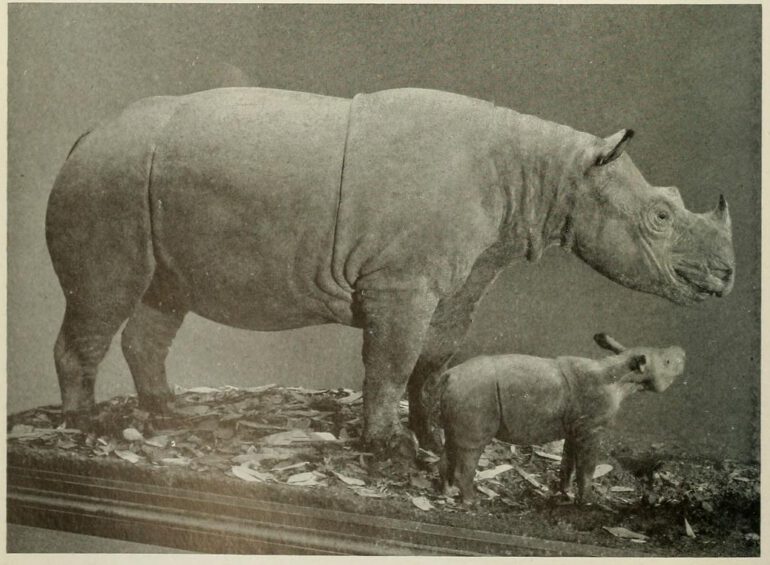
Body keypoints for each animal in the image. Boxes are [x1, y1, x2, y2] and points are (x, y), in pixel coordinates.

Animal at [45, 87, 735, 458]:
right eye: (660, 216)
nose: (727, 276)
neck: (553, 172)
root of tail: (85, 135)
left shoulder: (460, 279)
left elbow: (433, 358)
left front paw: (432, 437)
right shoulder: (400, 282)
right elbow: (392, 361)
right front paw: (387, 449)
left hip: (138, 180)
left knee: (161, 300)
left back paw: (167, 413)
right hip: (108, 179)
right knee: (103, 299)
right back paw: (85, 427)